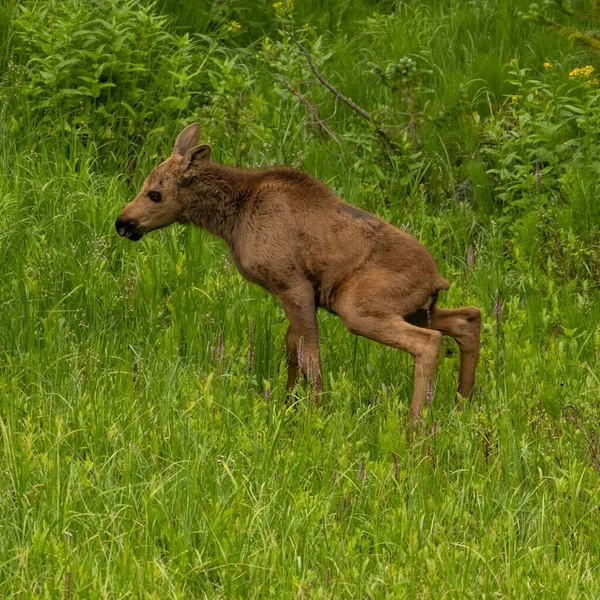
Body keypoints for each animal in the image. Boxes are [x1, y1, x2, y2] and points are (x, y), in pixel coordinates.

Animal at [116, 124, 482, 420]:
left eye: (155, 194)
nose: (123, 222)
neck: (232, 219)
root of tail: (437, 279)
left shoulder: (293, 284)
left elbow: (310, 358)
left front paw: (316, 415)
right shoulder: (290, 292)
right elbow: (293, 351)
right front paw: (288, 406)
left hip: (359, 307)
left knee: (429, 342)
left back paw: (415, 426)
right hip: (419, 309)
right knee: (468, 318)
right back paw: (462, 404)